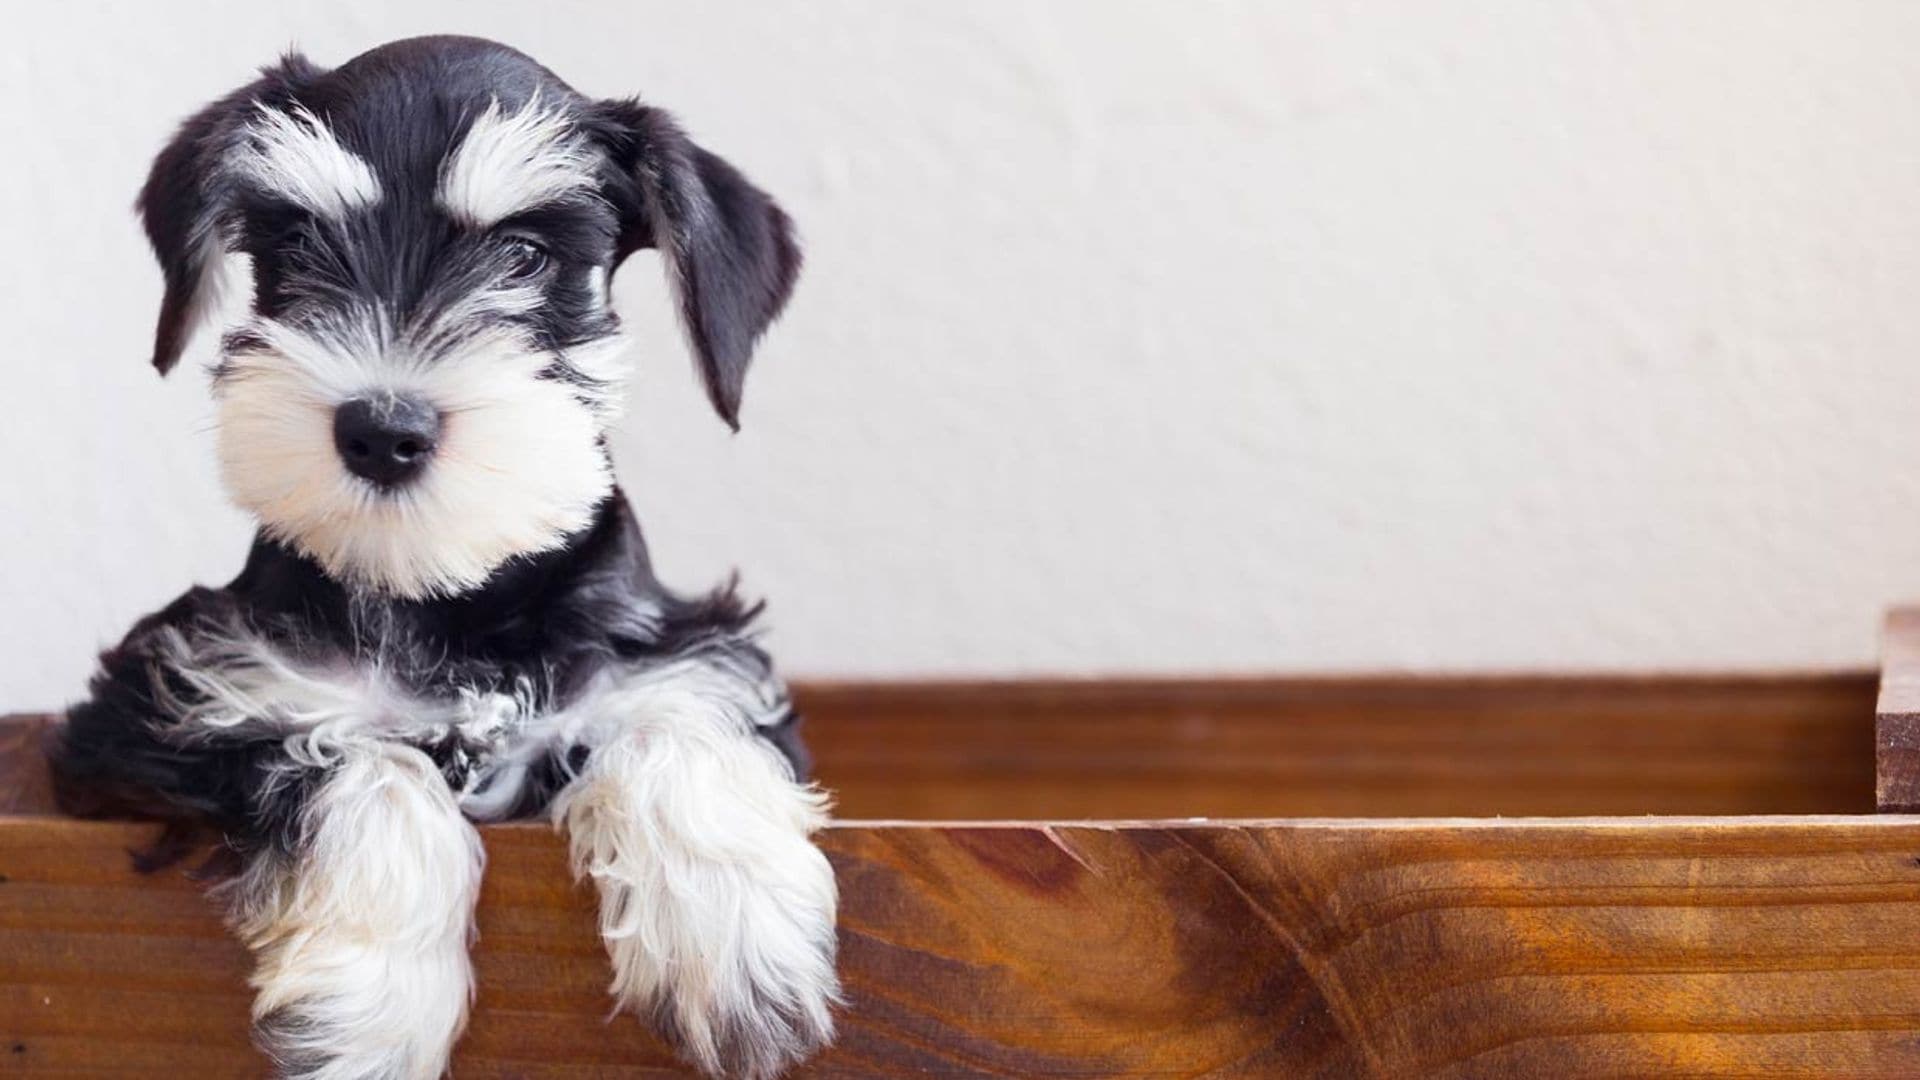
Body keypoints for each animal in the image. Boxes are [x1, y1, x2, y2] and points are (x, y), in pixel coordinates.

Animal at [50, 33, 833, 1076]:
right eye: (298, 246)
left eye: (527, 253)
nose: (383, 431)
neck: (451, 607)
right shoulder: (167, 710)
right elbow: (357, 756)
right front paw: (369, 1008)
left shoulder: (687, 659)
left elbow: (675, 719)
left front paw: (737, 938)